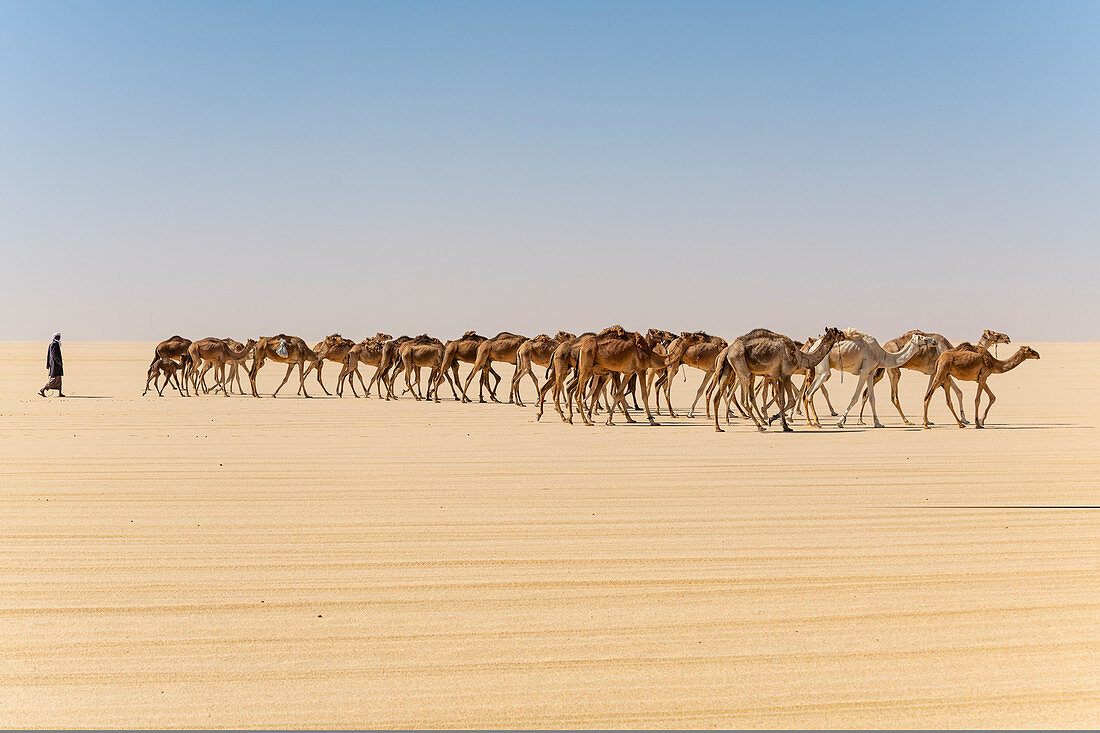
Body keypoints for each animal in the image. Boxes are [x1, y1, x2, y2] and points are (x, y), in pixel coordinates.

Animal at [708, 323, 844, 429]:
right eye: (838, 331)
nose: (844, 335)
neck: (801, 357)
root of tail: (728, 350)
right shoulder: (786, 374)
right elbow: (791, 400)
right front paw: (773, 419)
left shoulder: (779, 376)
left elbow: (782, 400)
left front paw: (785, 425)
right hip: (742, 366)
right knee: (744, 398)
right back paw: (759, 425)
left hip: (729, 369)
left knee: (720, 396)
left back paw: (719, 426)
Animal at [800, 330, 937, 429]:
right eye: (923, 338)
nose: (934, 340)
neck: (882, 355)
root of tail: (812, 348)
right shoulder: (864, 371)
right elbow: (855, 397)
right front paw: (840, 422)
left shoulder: (870, 372)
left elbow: (872, 398)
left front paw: (878, 423)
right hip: (824, 369)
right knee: (810, 393)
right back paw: (816, 423)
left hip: (818, 371)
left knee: (807, 393)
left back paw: (812, 422)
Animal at [858, 325, 1012, 422]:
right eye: (996, 334)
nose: (1007, 338)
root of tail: (884, 346)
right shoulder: (943, 371)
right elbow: (958, 392)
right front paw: (964, 419)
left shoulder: (934, 372)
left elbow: (933, 392)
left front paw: (927, 420)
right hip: (894, 370)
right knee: (893, 396)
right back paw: (906, 420)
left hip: (881, 369)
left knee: (866, 392)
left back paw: (861, 420)